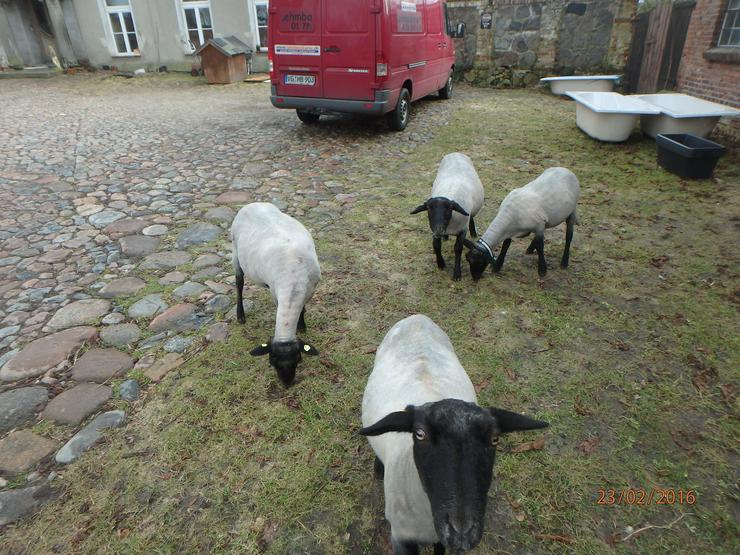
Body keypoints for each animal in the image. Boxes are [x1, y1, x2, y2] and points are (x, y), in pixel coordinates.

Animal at [231, 202, 320, 388]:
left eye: (298, 360)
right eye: (271, 362)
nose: (287, 385)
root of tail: (252, 204)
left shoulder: (310, 290)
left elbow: (302, 309)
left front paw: (302, 325)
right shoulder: (276, 294)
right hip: (235, 251)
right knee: (239, 282)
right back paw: (240, 315)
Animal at [358, 314, 548, 552]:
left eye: (495, 439)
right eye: (419, 434)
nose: (462, 532)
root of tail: (416, 317)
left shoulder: (440, 540)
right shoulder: (402, 538)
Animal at [410, 152, 486, 280]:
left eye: (450, 208)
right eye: (428, 208)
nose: (439, 230)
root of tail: (456, 153)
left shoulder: (462, 230)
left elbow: (458, 249)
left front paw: (457, 273)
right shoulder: (434, 230)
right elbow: (436, 245)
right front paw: (441, 264)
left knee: (471, 217)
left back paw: (473, 232)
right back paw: (445, 237)